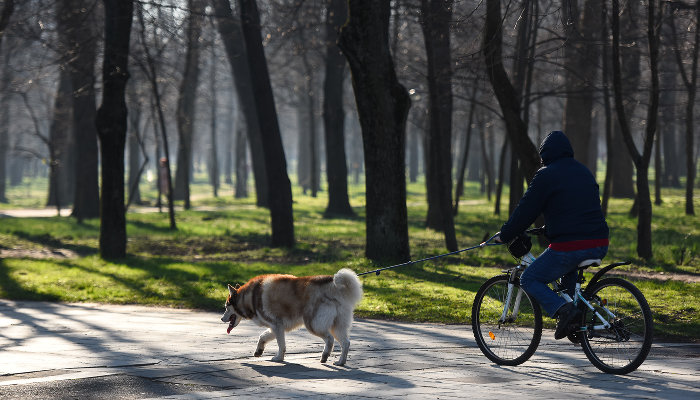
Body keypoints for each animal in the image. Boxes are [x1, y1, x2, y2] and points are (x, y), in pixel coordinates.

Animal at [221, 268, 364, 366]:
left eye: (226, 307)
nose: (221, 319)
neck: (251, 297)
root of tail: (333, 286)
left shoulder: (277, 325)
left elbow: (281, 345)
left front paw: (279, 358)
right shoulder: (276, 327)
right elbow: (262, 337)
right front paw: (259, 351)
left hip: (313, 324)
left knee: (329, 339)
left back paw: (325, 355)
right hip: (337, 326)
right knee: (346, 343)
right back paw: (341, 361)